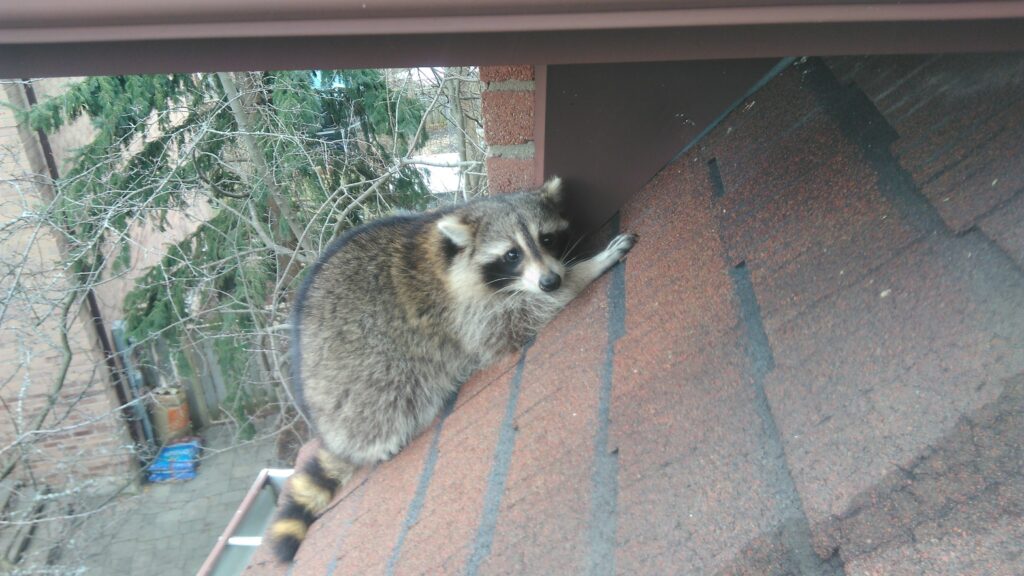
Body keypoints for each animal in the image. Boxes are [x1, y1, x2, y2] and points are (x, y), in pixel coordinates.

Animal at [268, 177, 634, 557]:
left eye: (546, 239)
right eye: (512, 255)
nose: (551, 281)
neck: (452, 255)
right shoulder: (462, 317)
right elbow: (517, 320)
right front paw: (587, 269)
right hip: (363, 380)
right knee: (388, 396)